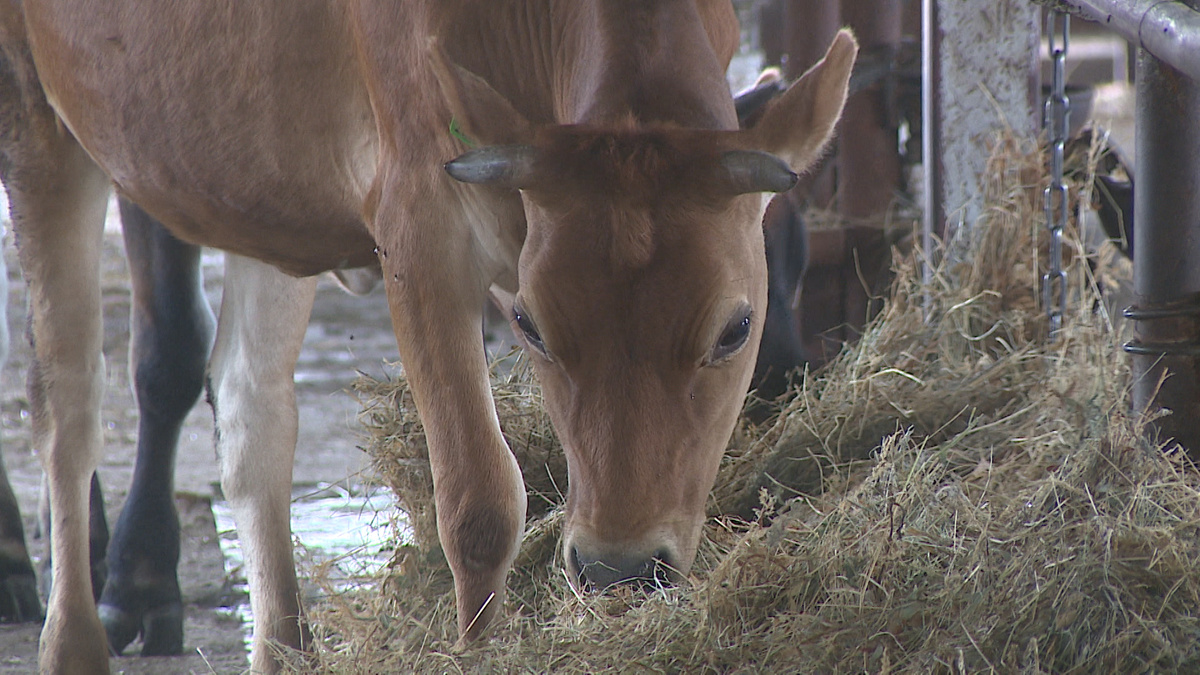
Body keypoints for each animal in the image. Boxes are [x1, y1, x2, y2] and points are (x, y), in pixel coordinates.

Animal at [0, 2, 854, 667]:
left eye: (735, 327)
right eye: (528, 323)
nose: (620, 569)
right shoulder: (418, 219)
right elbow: (480, 504)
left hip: (252, 186)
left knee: (251, 412)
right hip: (39, 113)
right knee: (66, 396)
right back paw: (71, 632)